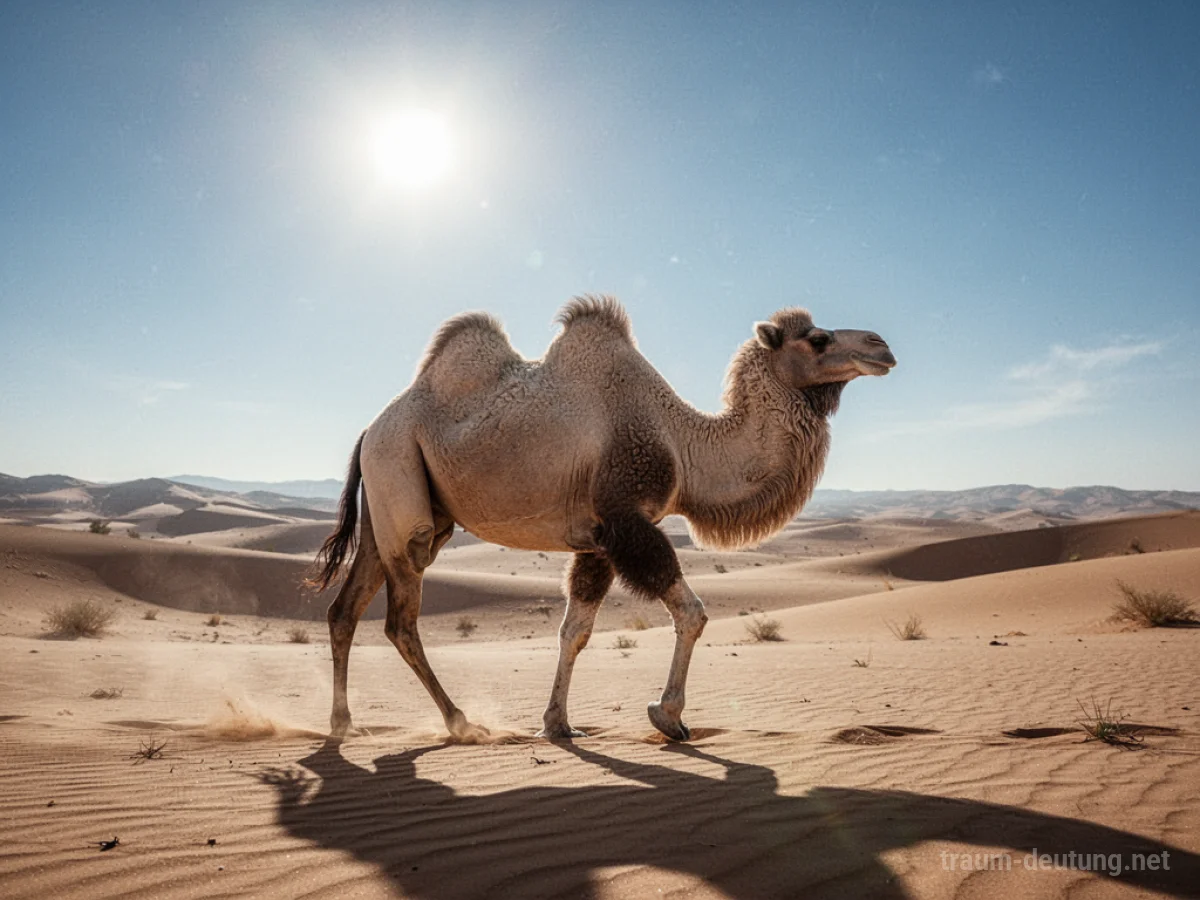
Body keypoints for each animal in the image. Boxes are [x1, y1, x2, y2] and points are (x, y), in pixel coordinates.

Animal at [312, 296, 895, 742]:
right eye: (818, 339)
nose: (881, 346)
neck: (682, 444)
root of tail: (370, 430)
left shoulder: (595, 540)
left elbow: (575, 630)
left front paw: (557, 723)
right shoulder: (626, 520)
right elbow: (692, 613)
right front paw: (667, 717)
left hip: (394, 507)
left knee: (344, 610)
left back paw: (342, 724)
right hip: (401, 483)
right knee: (400, 622)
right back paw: (461, 723)